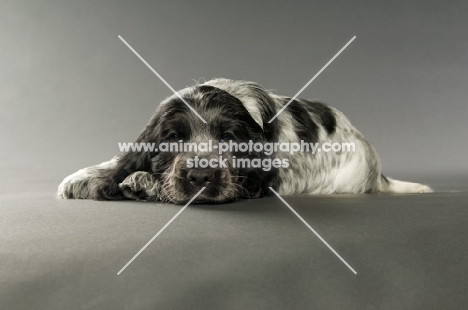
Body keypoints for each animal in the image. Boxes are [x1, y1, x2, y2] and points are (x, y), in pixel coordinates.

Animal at [57, 78, 432, 203]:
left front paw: (141, 182)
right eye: (173, 137)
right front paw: (82, 179)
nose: (201, 176)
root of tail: (378, 171)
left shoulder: (257, 183)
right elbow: (119, 162)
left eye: (228, 138)